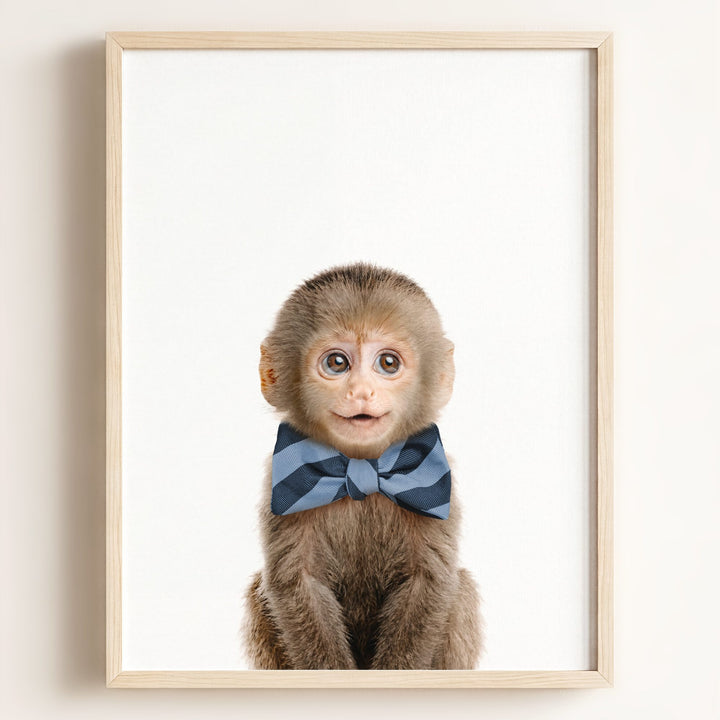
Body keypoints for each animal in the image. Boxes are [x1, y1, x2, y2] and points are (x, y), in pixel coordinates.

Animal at [243, 263, 482, 670]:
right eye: (337, 363)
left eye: (388, 363)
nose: (361, 392)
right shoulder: (280, 480)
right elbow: (298, 583)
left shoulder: (437, 478)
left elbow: (429, 581)